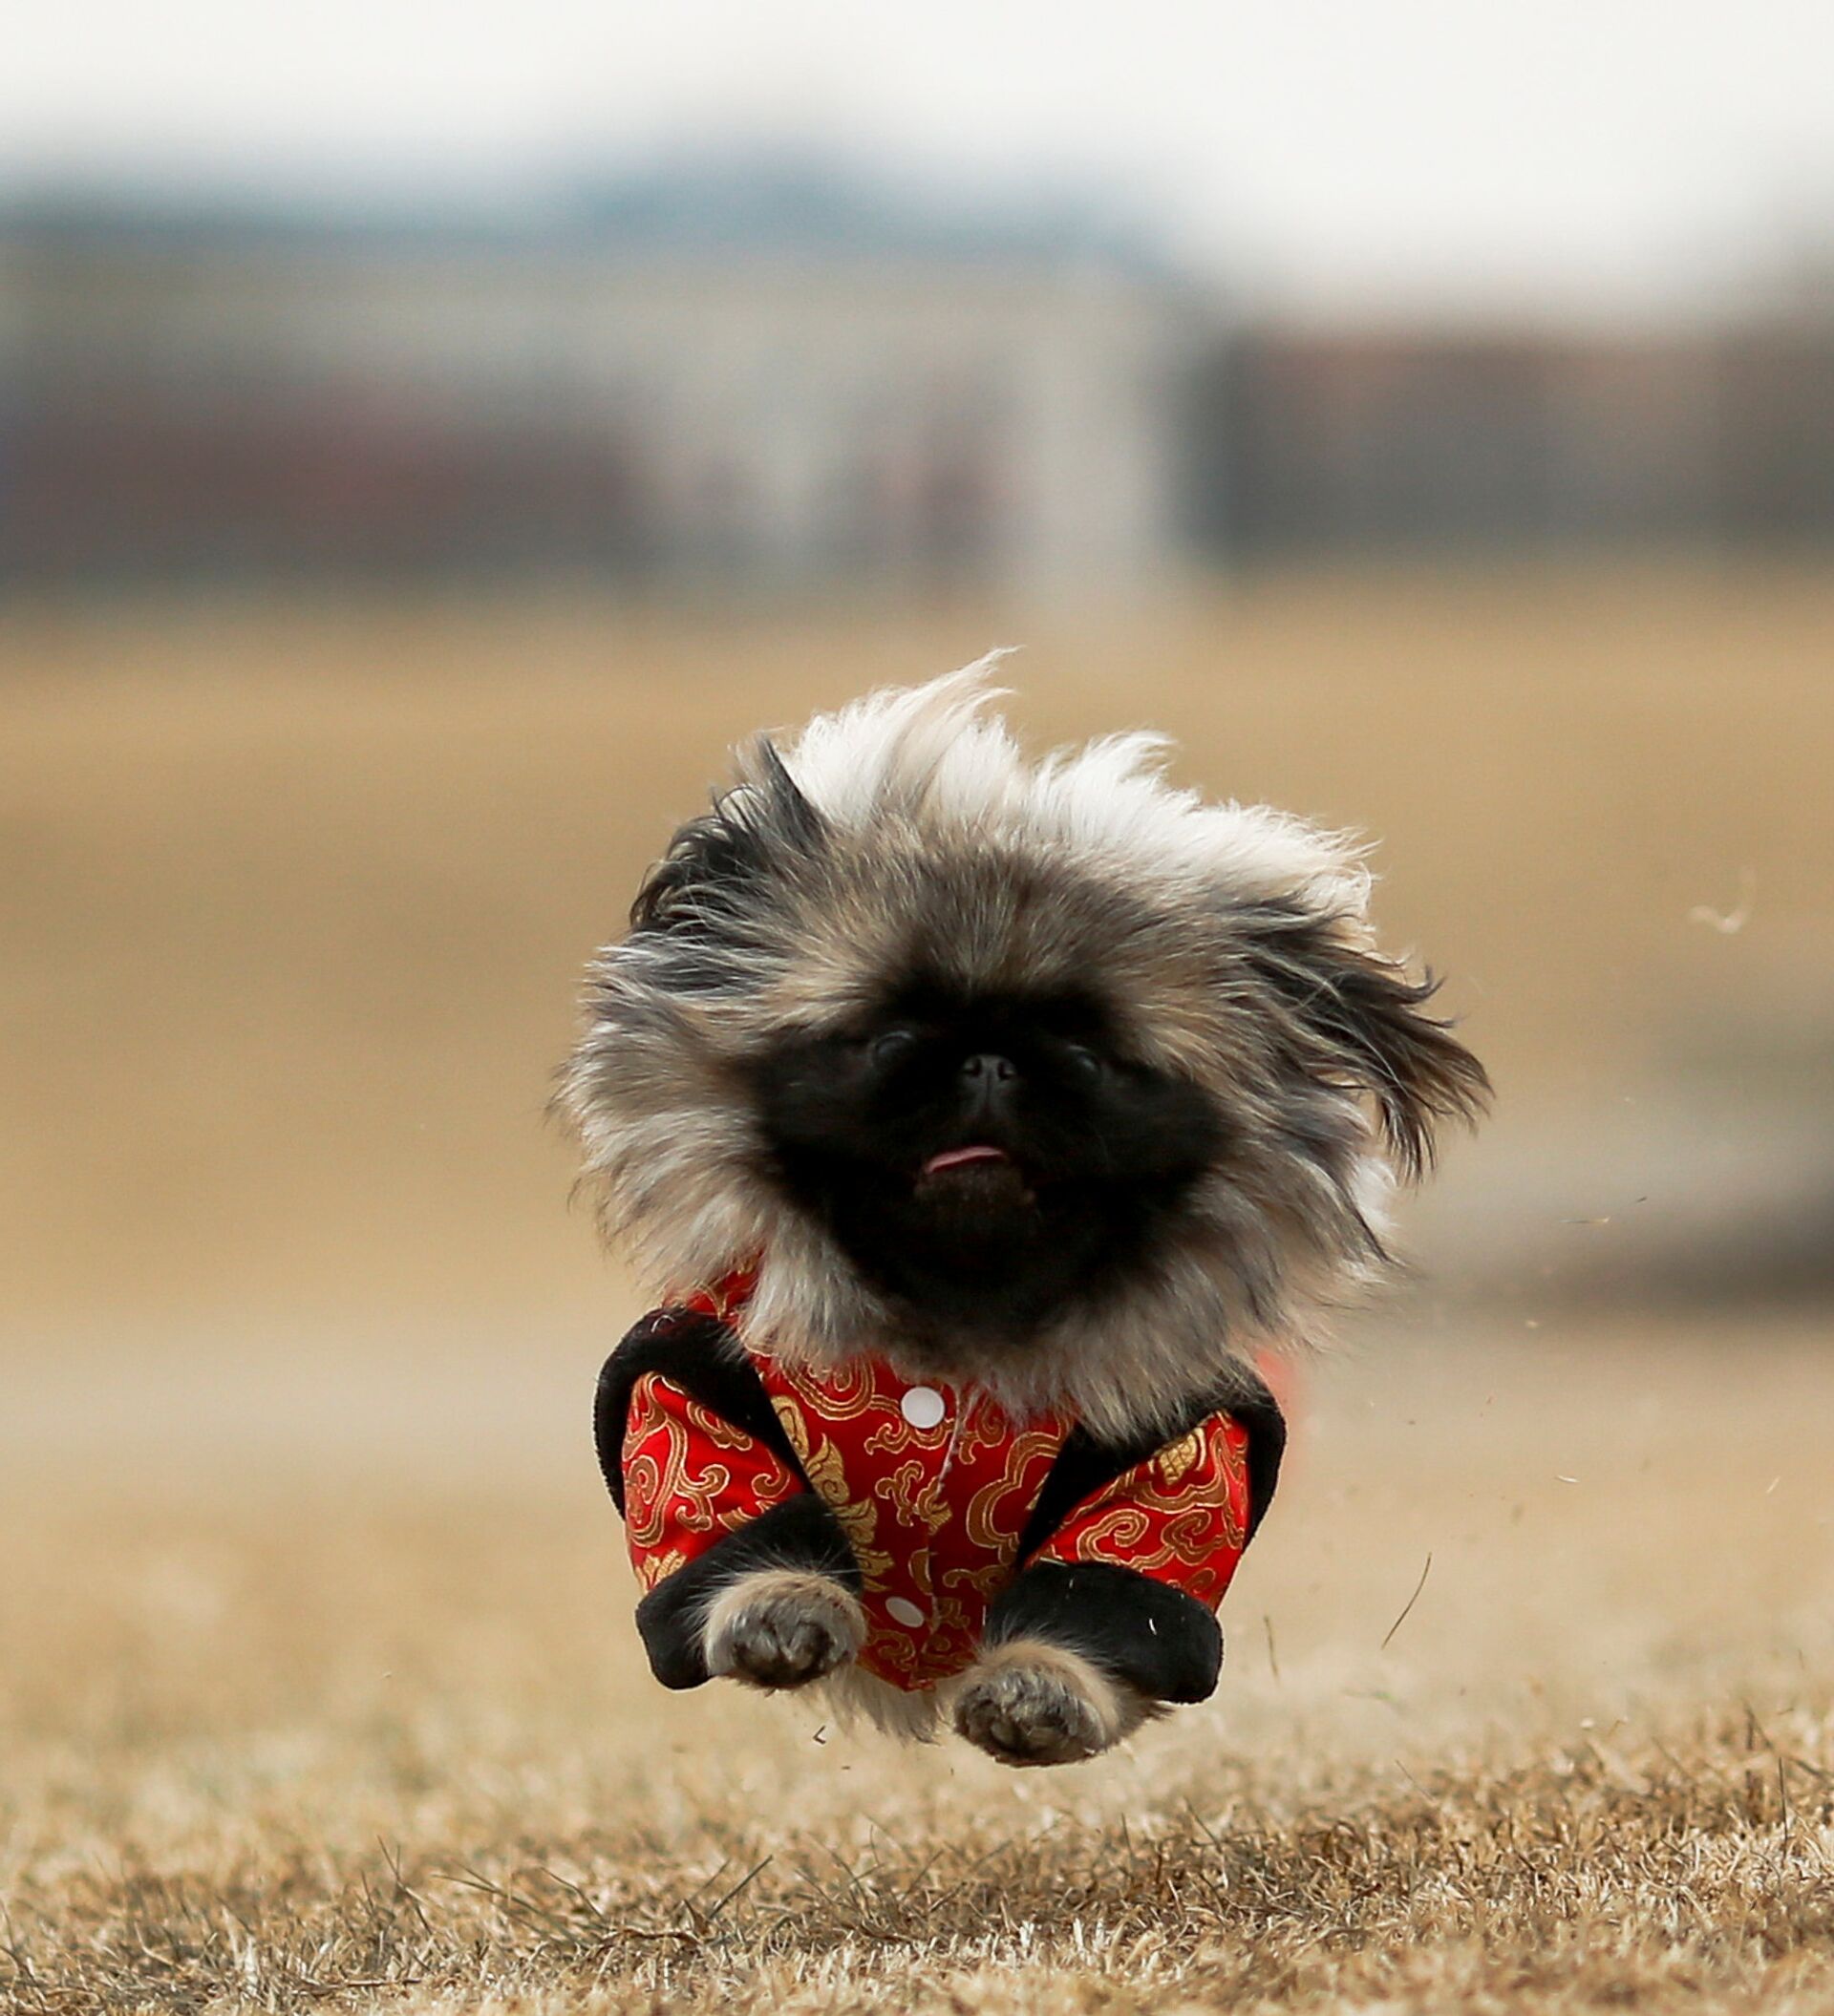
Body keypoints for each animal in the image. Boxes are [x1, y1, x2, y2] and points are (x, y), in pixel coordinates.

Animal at [564, 665, 1491, 1766]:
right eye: (888, 1038)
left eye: (1090, 1056)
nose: (989, 1060)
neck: (957, 1336)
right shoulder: (690, 1397)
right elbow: (736, 1535)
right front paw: (778, 1609)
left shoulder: (1169, 1476)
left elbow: (1099, 1608)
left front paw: (1039, 1692)